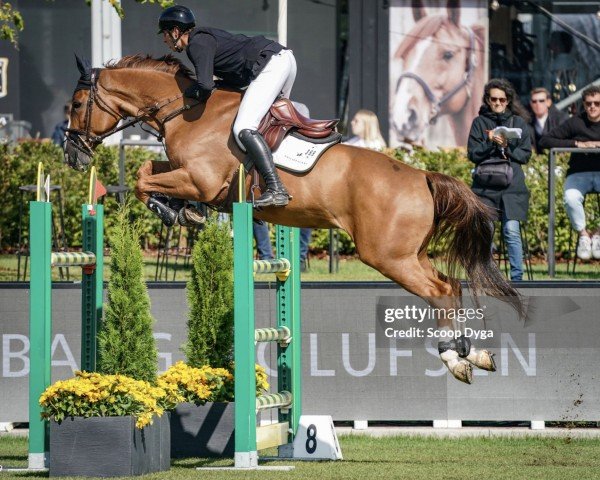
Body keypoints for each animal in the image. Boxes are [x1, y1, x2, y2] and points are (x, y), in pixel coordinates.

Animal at [64, 54, 520, 384]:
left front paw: (174, 211)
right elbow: (147, 171)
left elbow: (143, 180)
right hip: (409, 253)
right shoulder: (187, 175)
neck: (185, 109)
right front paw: (181, 211)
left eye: (77, 105)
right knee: (452, 285)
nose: (72, 156)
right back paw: (472, 353)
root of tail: (422, 175)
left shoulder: (199, 179)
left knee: (439, 291)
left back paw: (454, 359)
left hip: (387, 256)